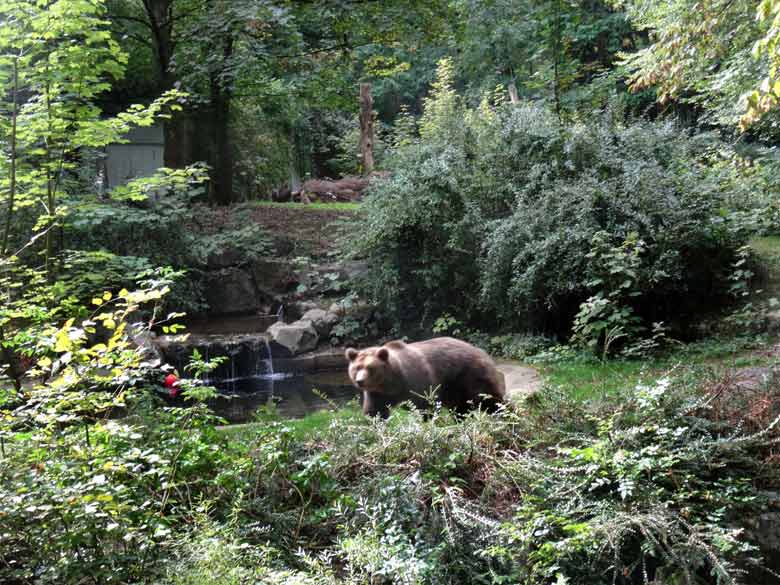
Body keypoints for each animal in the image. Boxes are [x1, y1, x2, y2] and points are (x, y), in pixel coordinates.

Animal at [346, 336, 506, 418]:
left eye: (370, 368)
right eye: (356, 368)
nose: (360, 381)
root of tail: (481, 351)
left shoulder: (417, 381)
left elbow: (426, 406)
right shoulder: (377, 393)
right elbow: (375, 411)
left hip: (470, 375)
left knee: (490, 399)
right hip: (454, 387)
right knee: (461, 407)